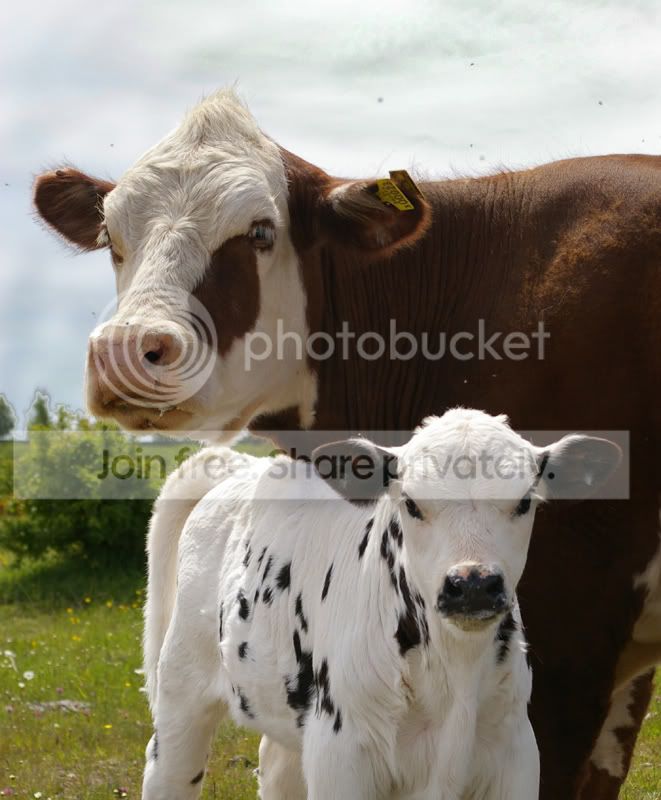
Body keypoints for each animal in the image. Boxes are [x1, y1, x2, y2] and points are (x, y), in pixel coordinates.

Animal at [141, 409, 621, 800]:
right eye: (411, 503)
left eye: (523, 502)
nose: (472, 584)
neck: (453, 673)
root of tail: (244, 465)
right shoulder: (342, 755)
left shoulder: (513, 753)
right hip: (182, 686)